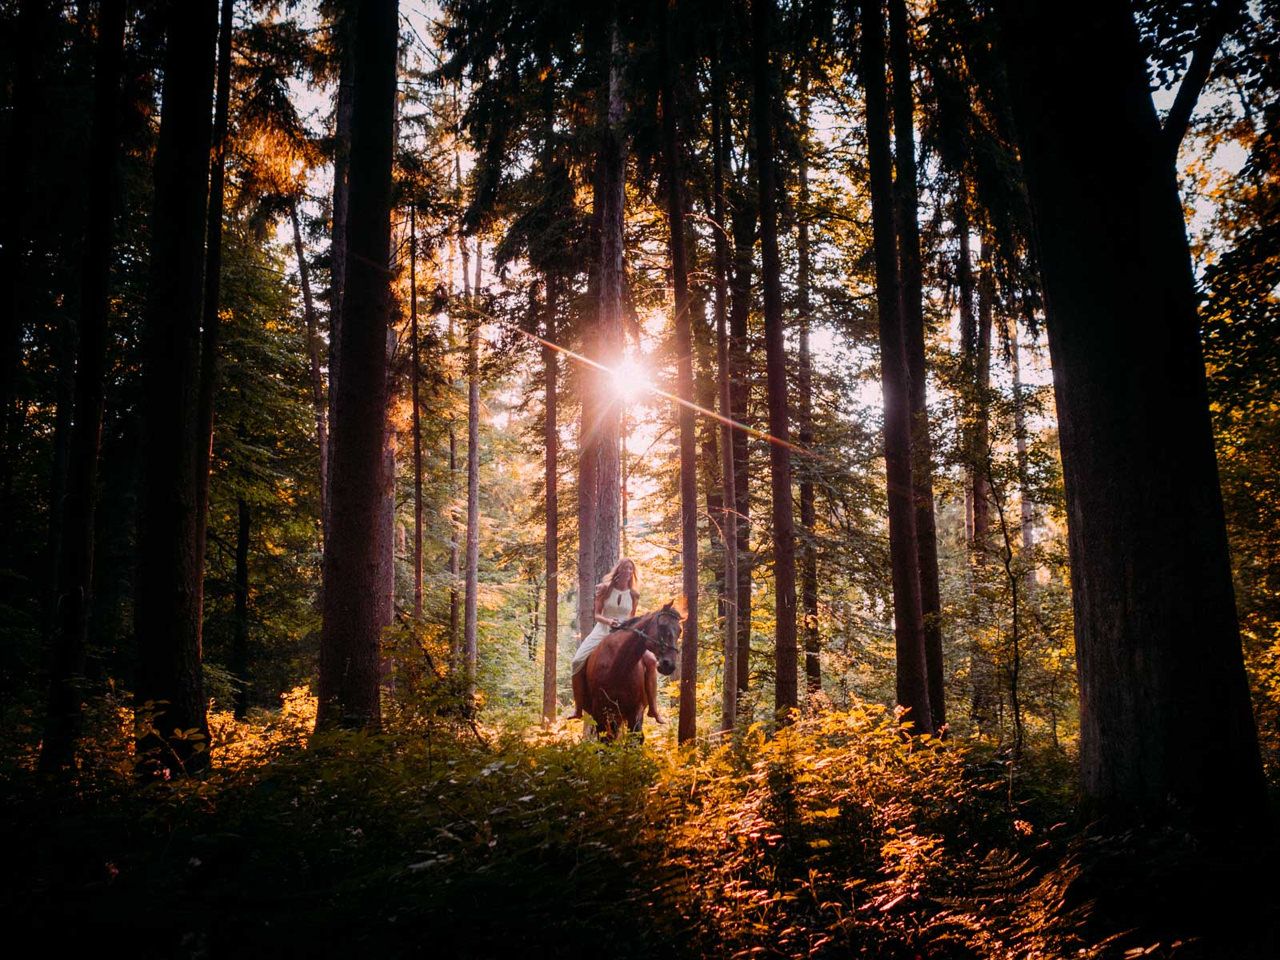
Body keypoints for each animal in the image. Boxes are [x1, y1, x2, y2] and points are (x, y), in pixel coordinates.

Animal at [583, 604, 686, 742]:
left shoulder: (635, 710)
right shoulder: (600, 713)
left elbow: (634, 739)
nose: (669, 665)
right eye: (662, 626)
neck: (618, 667)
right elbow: (605, 741)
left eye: (680, 630)